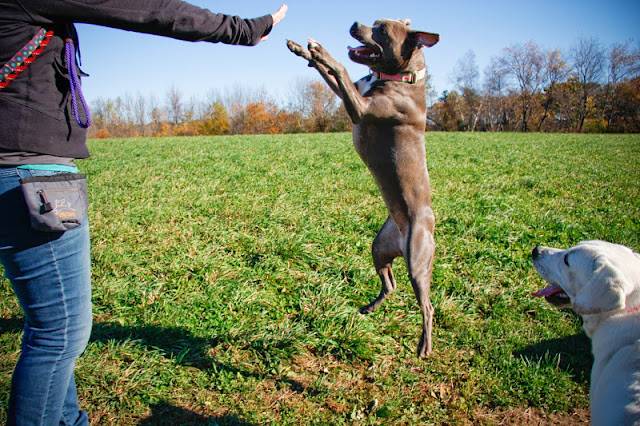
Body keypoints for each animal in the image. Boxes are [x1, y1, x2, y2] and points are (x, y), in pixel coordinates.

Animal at [287, 19, 440, 358]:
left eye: (382, 30)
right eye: (375, 21)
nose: (355, 23)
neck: (400, 77)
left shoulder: (360, 107)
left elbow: (340, 68)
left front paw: (320, 51)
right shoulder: (351, 95)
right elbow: (331, 74)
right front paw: (303, 50)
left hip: (417, 260)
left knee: (427, 305)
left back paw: (424, 346)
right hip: (379, 247)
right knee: (391, 284)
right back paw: (369, 307)